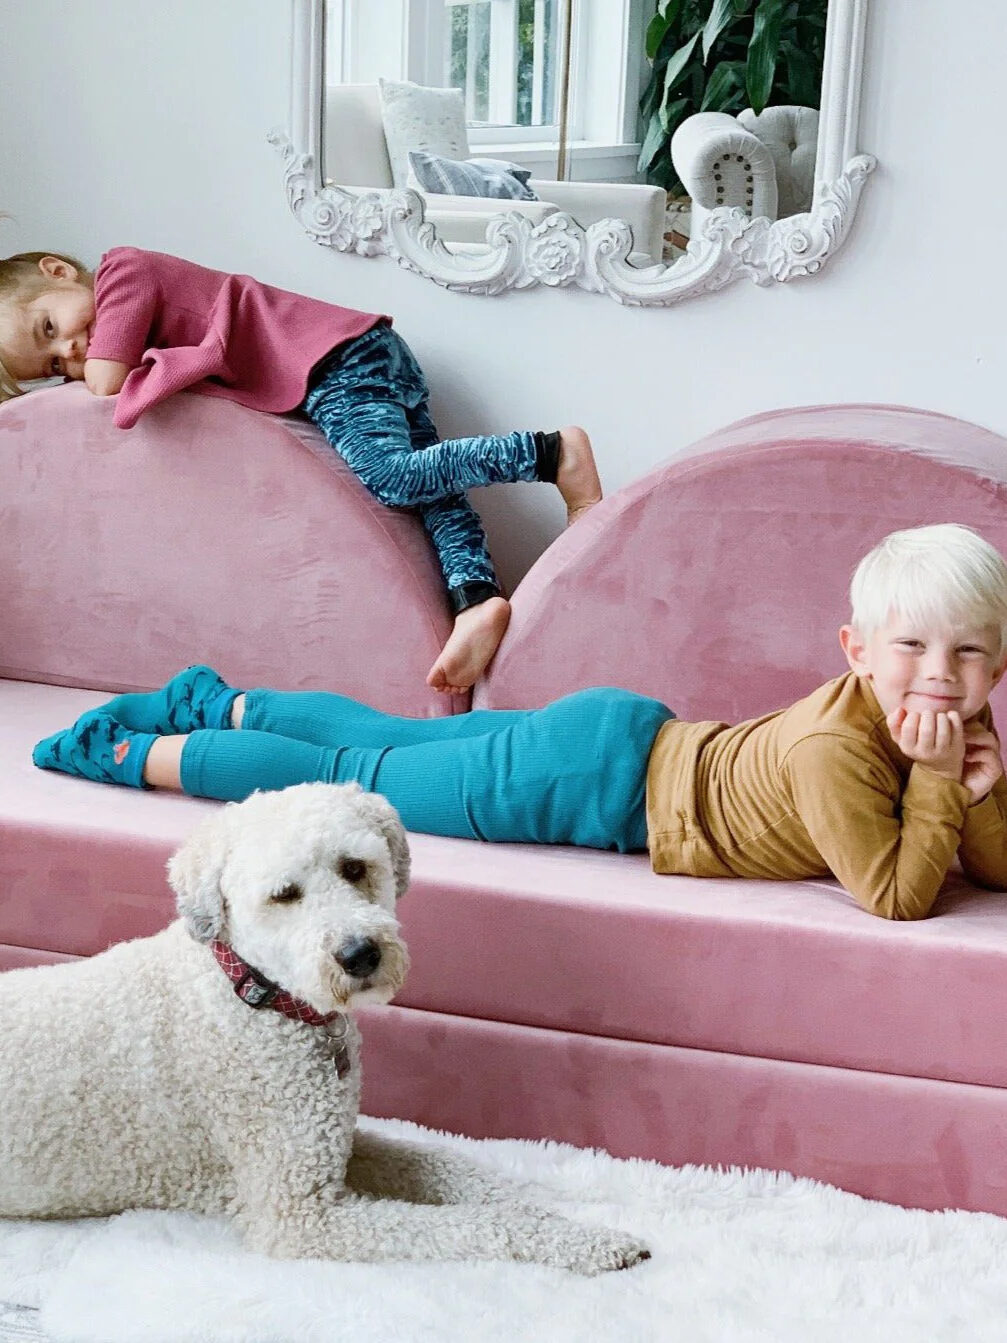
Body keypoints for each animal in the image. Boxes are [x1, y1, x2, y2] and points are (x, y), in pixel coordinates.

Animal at [0, 784, 647, 1273]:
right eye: (284, 895)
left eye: (354, 868)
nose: (359, 953)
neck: (256, 995)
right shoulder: (302, 1216)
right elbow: (470, 1225)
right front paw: (582, 1242)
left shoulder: (336, 1138)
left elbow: (448, 1165)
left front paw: (555, 1203)